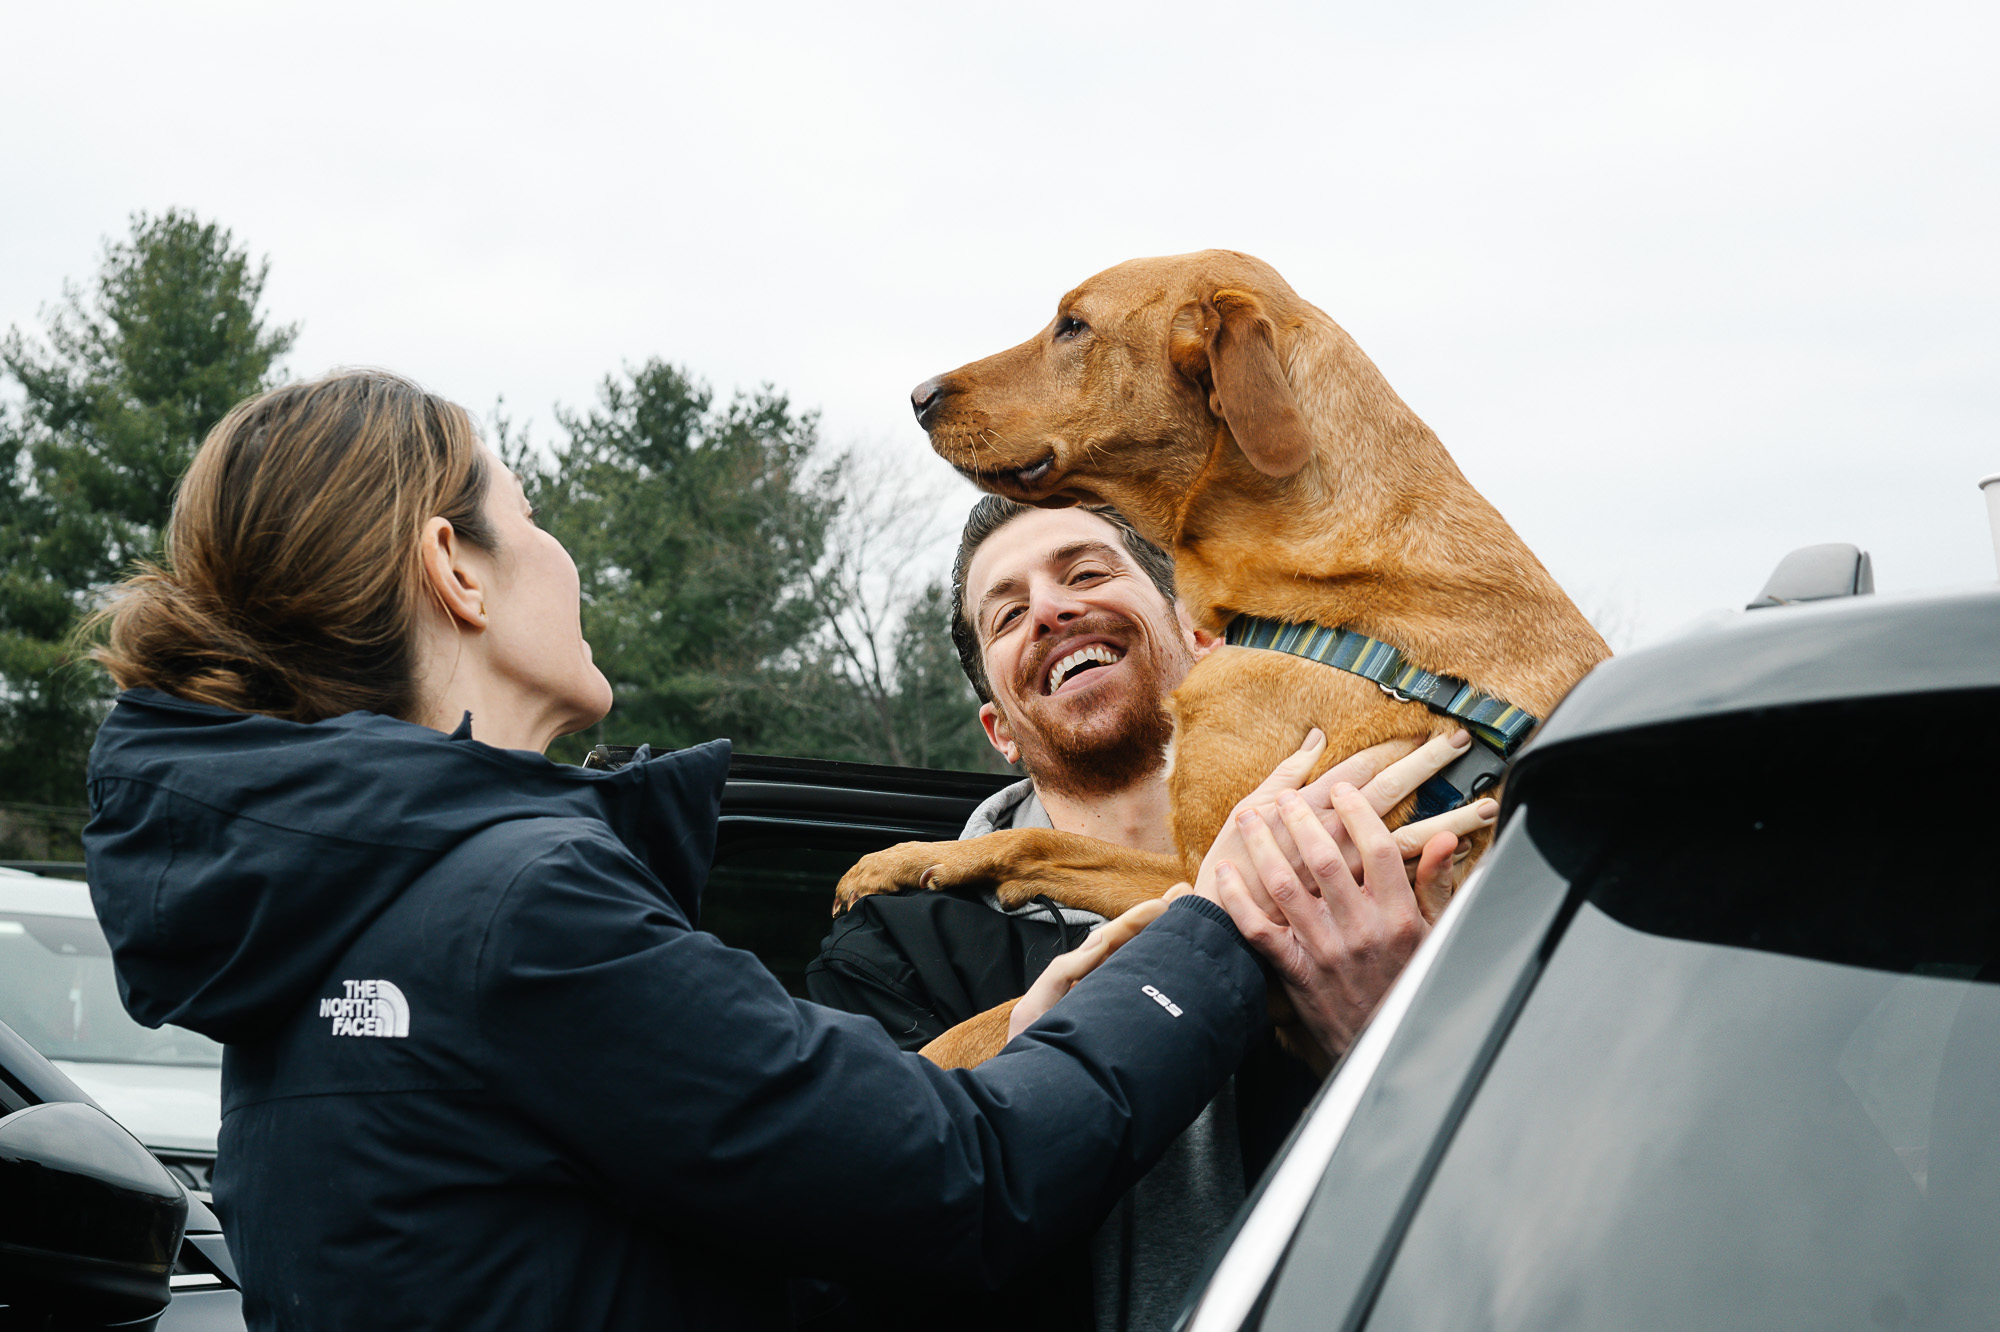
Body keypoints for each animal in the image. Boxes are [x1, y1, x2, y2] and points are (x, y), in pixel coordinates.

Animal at [837, 250, 1610, 1065]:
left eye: (1072, 325)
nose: (919, 396)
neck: (1323, 597)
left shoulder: (1234, 894)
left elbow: (1021, 1005)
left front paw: (928, 1058)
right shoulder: (1197, 862)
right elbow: (1039, 840)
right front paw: (902, 861)